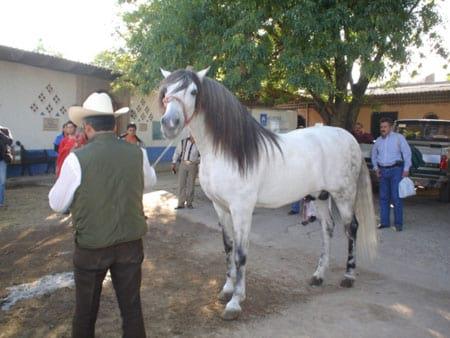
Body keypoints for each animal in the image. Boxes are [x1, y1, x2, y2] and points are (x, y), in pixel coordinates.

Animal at [158, 67, 376, 320]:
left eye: (193, 91)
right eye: (166, 90)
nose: (169, 124)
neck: (226, 152)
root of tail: (350, 138)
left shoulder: (241, 209)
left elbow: (241, 253)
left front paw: (235, 303)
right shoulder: (220, 207)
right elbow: (228, 248)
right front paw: (226, 289)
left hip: (343, 195)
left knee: (351, 228)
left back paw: (349, 276)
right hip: (320, 195)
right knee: (327, 228)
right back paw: (319, 276)